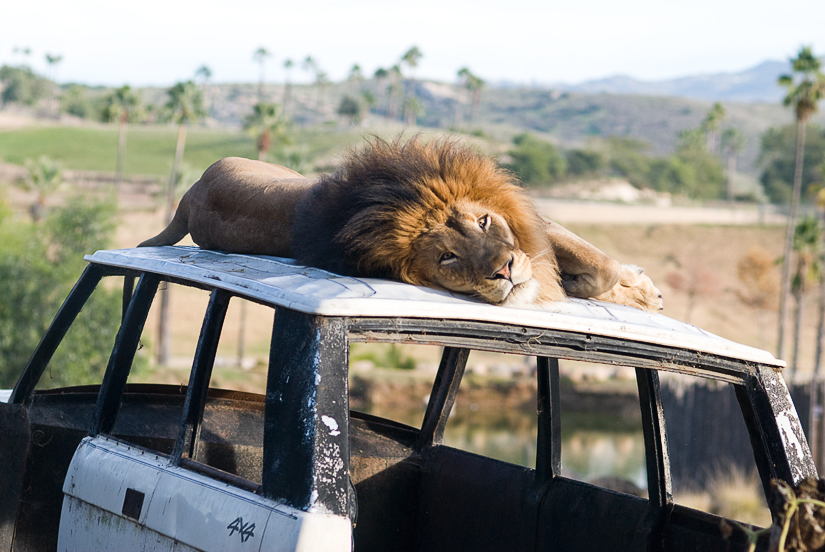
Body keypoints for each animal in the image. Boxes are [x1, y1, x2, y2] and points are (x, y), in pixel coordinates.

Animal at [137, 136, 664, 312]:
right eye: (447, 257)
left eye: (484, 221)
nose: (506, 270)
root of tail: (189, 195)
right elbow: (599, 271)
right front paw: (639, 290)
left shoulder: (535, 227)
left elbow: (596, 266)